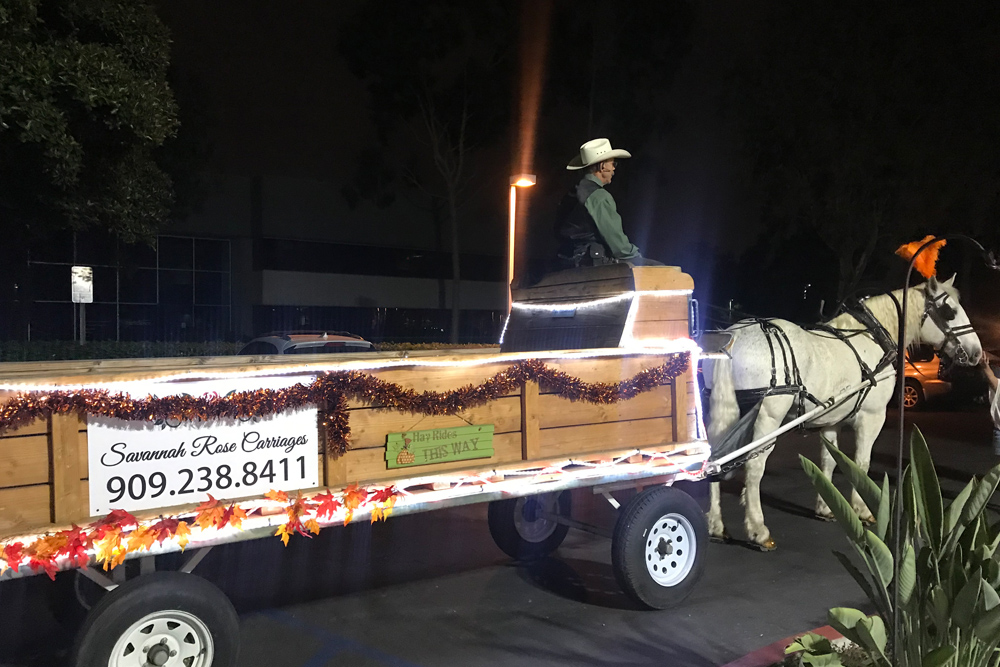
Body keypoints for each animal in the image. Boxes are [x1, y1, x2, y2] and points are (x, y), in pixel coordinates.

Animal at [708, 274, 980, 552]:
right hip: (768, 419)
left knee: (714, 460)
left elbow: (828, 461)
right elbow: (861, 463)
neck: (872, 338)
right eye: (950, 312)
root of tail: (734, 335)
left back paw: (717, 526)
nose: (976, 353)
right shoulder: (873, 417)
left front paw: (826, 508)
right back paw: (758, 530)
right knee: (754, 467)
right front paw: (862, 510)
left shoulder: (831, 420)